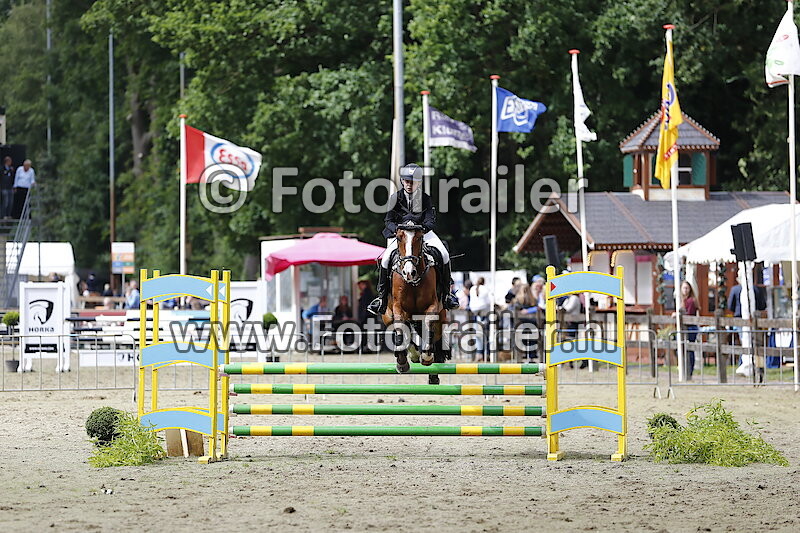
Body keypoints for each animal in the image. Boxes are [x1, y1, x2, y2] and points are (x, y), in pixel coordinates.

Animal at [382, 224, 449, 385]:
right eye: (399, 237)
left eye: (418, 238)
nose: (409, 272)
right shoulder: (398, 307)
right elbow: (401, 327)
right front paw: (402, 361)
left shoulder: (432, 306)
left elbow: (429, 324)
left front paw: (426, 356)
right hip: (387, 316)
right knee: (406, 331)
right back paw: (413, 354)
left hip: (440, 320)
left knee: (434, 338)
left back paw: (432, 376)